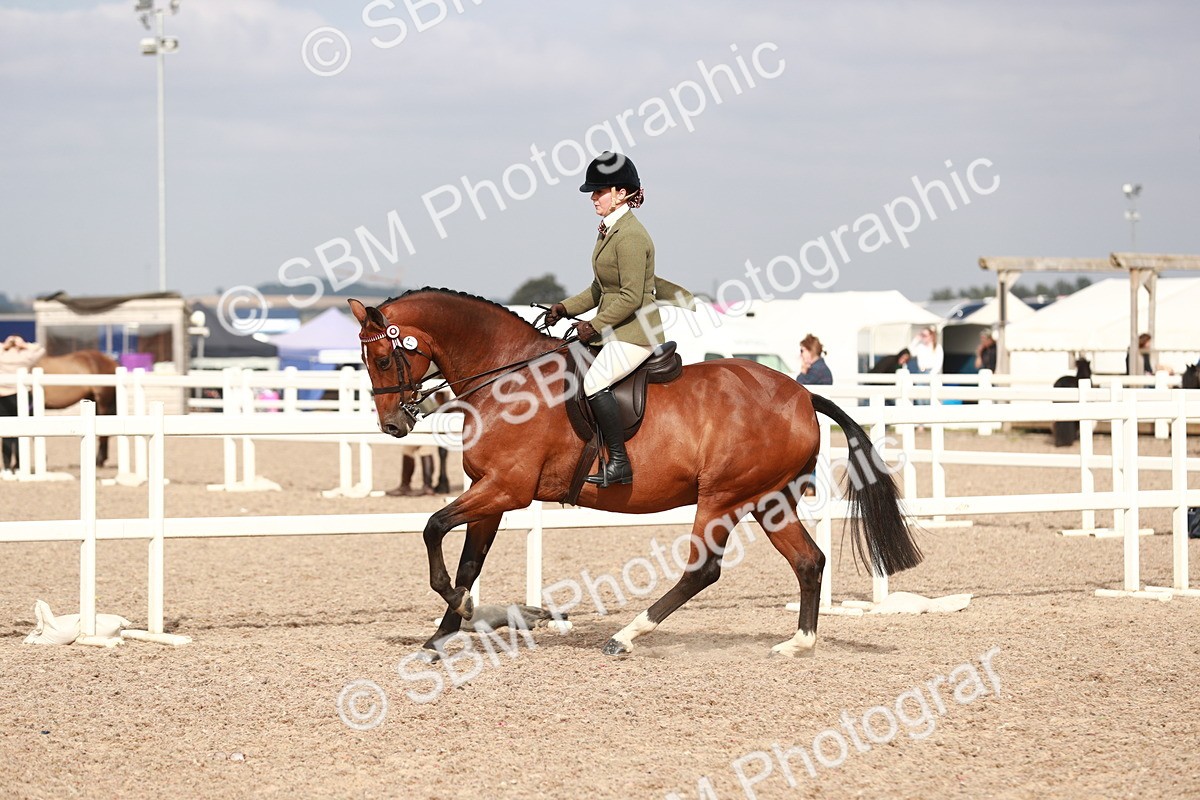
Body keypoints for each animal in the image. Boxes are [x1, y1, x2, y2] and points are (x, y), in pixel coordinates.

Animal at [348, 288, 922, 659]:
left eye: (383, 358)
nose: (394, 424)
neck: (508, 378)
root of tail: (802, 395)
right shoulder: (488, 491)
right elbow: (467, 562)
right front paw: (444, 634)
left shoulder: (506, 489)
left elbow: (433, 530)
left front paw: (472, 613)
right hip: (768, 500)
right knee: (808, 561)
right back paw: (798, 643)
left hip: (723, 497)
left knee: (703, 570)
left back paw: (625, 637)